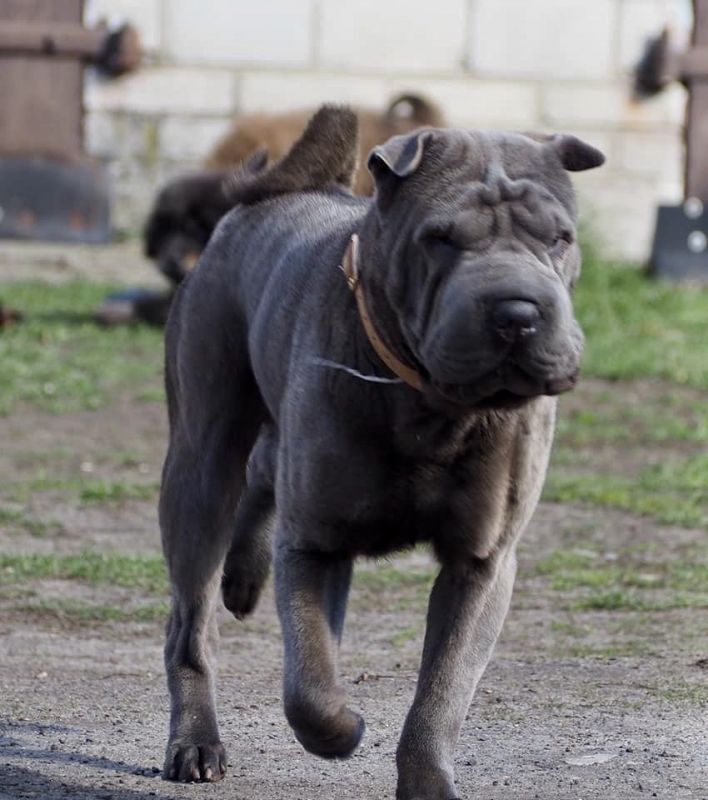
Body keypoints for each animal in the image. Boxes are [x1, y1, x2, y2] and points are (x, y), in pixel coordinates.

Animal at [158, 106, 604, 799]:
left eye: (559, 237)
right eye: (440, 238)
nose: (517, 312)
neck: (435, 407)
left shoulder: (481, 563)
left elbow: (444, 689)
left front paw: (427, 782)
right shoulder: (316, 542)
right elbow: (310, 686)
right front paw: (345, 729)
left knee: (263, 472)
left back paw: (244, 578)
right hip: (200, 460)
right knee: (191, 619)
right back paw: (197, 740)